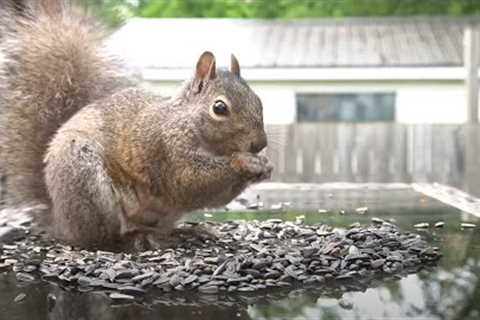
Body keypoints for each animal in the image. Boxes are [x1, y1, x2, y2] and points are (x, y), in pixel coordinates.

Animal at [0, 0, 272, 249]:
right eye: (219, 108)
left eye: (259, 100)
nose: (260, 144)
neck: (186, 122)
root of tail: (59, 219)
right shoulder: (164, 150)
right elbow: (190, 182)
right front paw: (244, 162)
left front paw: (264, 165)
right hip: (84, 178)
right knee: (101, 238)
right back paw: (133, 238)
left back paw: (184, 232)